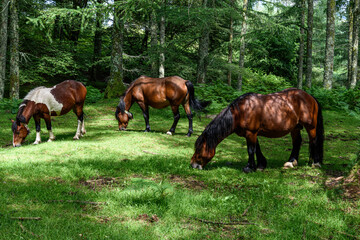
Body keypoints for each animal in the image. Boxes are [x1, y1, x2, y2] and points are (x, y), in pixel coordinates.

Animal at [191, 88, 324, 172]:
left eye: (199, 148)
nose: (193, 165)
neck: (240, 112)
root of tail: (310, 97)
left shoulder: (251, 132)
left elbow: (251, 150)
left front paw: (249, 168)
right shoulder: (251, 133)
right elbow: (256, 149)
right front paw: (261, 165)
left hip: (310, 127)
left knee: (314, 141)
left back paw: (316, 162)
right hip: (295, 127)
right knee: (297, 142)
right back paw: (291, 162)